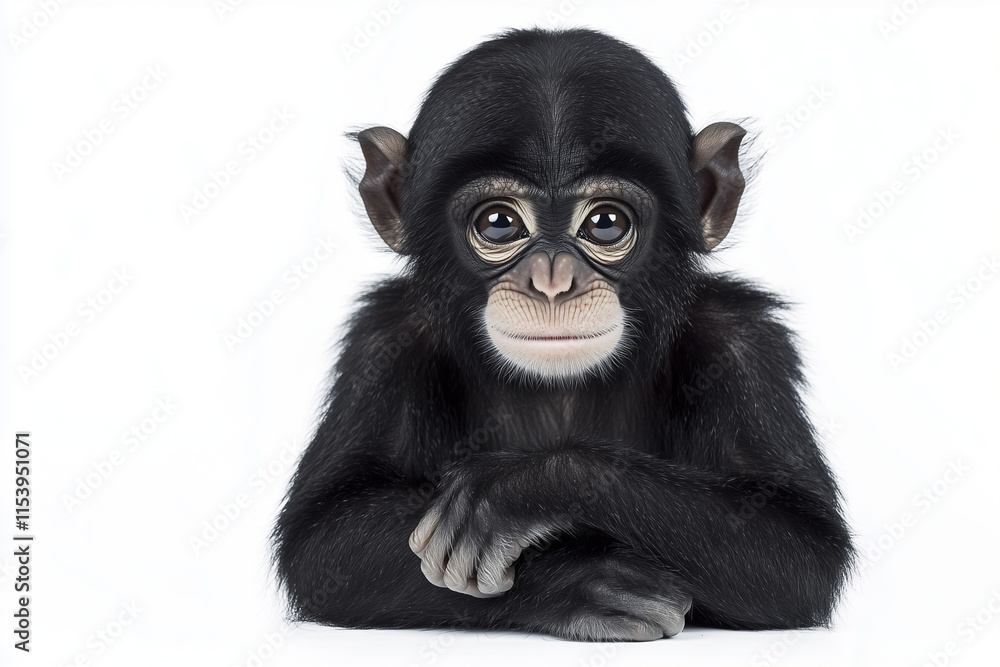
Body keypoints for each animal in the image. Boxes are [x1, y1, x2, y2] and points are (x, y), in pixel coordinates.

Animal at [273, 27, 853, 641]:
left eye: (606, 223)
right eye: (498, 223)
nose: (552, 280)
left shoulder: (742, 346)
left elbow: (794, 547)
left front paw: (518, 489)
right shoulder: (383, 345)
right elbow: (326, 541)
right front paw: (587, 583)